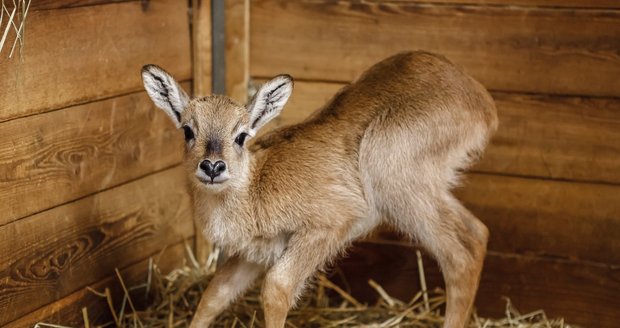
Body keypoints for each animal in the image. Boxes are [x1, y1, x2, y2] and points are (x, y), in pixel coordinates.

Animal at [142, 51, 498, 328]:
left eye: (241, 135)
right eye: (188, 130)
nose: (213, 166)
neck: (256, 189)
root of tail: (484, 104)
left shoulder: (327, 225)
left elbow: (277, 288)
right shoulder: (254, 254)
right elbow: (215, 294)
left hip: (397, 182)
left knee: (461, 253)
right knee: (477, 231)